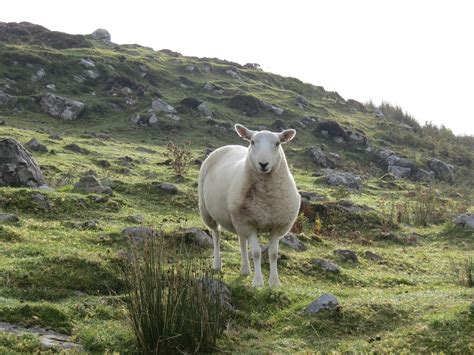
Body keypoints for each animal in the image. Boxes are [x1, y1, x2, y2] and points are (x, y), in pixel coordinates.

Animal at [197, 124, 300, 288]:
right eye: (252, 142)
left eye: (277, 143)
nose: (263, 164)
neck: (266, 199)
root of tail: (229, 146)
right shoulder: (250, 224)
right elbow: (256, 253)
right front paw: (258, 282)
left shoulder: (276, 226)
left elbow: (273, 254)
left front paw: (274, 282)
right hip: (208, 211)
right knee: (216, 235)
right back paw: (217, 264)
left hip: (238, 217)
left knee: (242, 242)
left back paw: (245, 270)